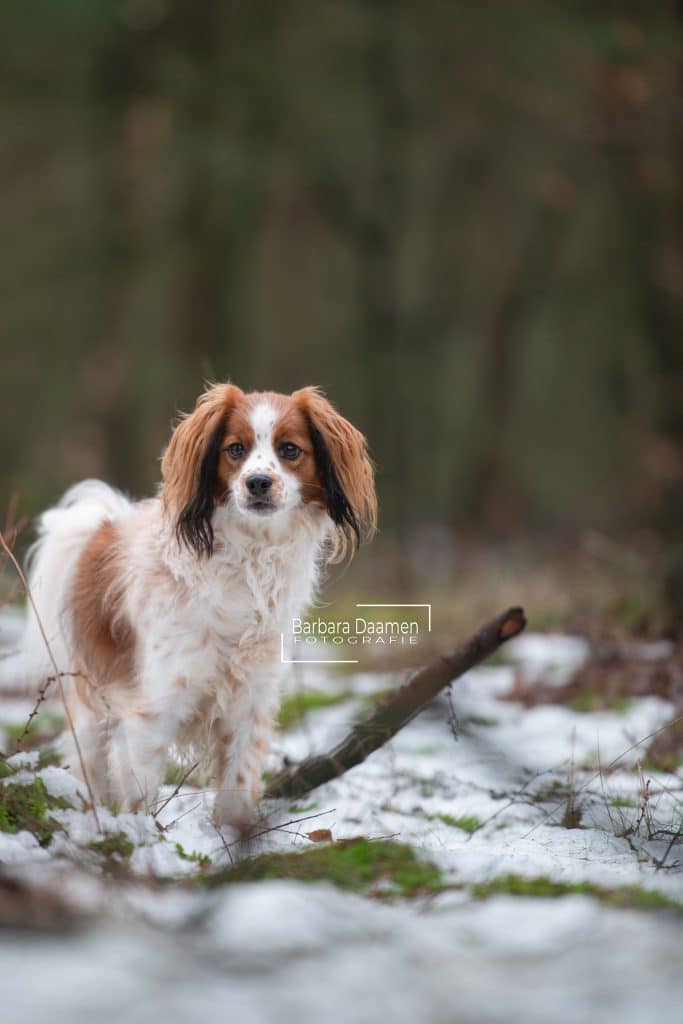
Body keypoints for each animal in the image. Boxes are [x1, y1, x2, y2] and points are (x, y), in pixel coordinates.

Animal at [2, 383, 376, 826]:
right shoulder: (152, 708)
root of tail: (102, 528)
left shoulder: (250, 704)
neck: (249, 558)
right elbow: (141, 797)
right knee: (90, 764)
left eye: (290, 449)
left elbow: (235, 793)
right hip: (94, 702)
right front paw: (140, 841)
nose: (258, 482)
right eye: (235, 449)